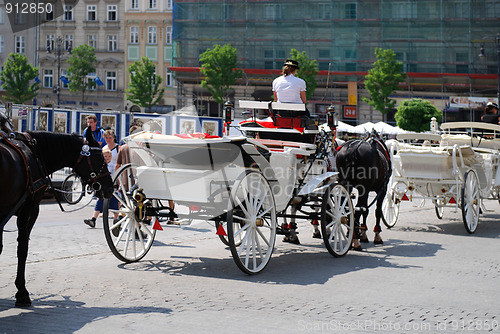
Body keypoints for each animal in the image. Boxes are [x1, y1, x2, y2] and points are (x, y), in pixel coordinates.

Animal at [0, 119, 113, 306]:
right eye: (99, 157)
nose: (110, 187)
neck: (34, 153)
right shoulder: (29, 209)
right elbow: (22, 248)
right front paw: (22, 292)